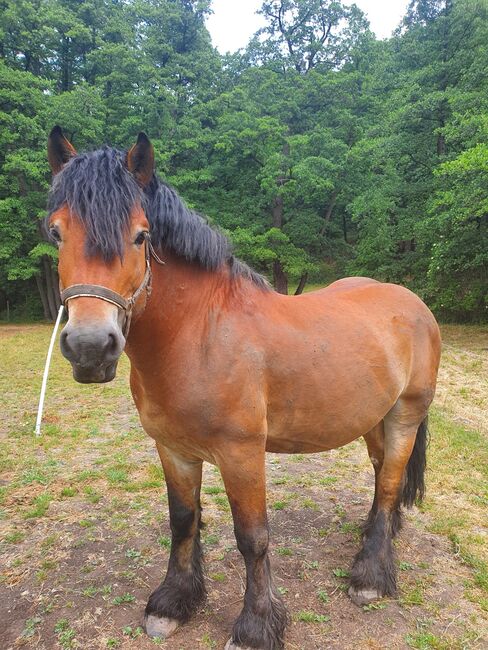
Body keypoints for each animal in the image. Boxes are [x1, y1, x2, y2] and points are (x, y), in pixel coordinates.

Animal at [46, 128, 442, 648]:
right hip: (373, 417)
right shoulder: (173, 449)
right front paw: (173, 602)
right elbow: (183, 521)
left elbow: (252, 538)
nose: (90, 347)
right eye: (56, 232)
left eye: (141, 235)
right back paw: (378, 538)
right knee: (382, 481)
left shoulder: (242, 454)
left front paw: (256, 625)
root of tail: (413, 302)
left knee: (392, 480)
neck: (200, 334)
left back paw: (370, 577)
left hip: (404, 416)